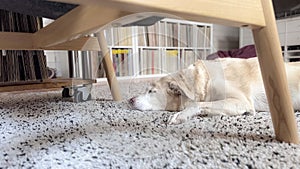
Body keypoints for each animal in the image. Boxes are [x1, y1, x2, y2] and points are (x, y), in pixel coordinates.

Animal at [128, 57, 300, 125]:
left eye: (151, 91)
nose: (129, 100)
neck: (203, 80)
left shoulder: (241, 101)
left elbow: (197, 104)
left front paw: (180, 115)